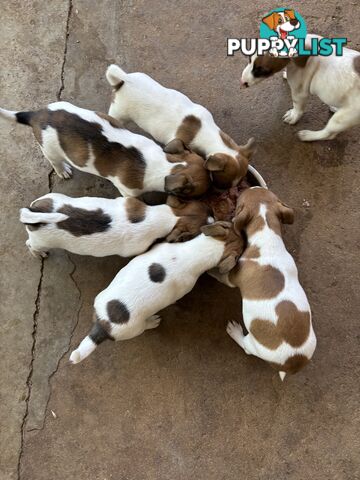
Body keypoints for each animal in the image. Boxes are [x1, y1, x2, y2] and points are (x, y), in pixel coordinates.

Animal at [0, 101, 211, 199]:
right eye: (200, 193)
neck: (164, 165)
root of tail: (37, 115)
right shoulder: (127, 192)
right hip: (50, 149)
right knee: (54, 160)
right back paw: (62, 170)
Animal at [19, 193, 212, 258]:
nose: (214, 215)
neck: (169, 216)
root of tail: (34, 213)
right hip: (41, 242)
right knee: (29, 244)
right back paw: (39, 254)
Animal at [69, 221, 245, 364]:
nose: (244, 234)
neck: (199, 251)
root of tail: (102, 326)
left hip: (99, 299)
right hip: (135, 329)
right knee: (144, 328)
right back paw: (152, 322)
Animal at [212, 188, 316, 378]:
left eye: (238, 201)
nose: (249, 186)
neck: (267, 236)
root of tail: (291, 364)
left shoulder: (230, 278)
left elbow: (219, 275)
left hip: (253, 345)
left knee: (246, 347)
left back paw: (235, 331)